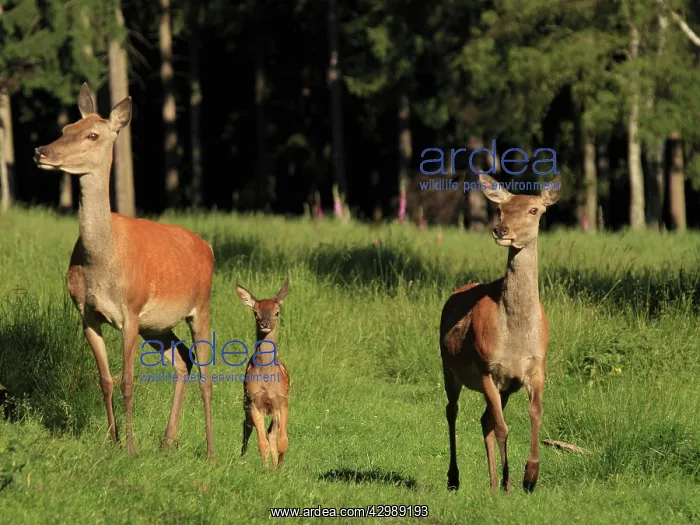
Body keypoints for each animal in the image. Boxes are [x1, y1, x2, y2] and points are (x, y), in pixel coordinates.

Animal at [33, 83, 215, 460]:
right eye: (65, 128)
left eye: (92, 134)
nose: (41, 151)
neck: (102, 261)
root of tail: (208, 246)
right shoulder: (87, 313)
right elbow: (105, 380)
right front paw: (112, 441)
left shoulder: (130, 310)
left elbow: (129, 381)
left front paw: (130, 448)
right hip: (157, 325)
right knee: (183, 360)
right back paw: (168, 441)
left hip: (200, 306)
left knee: (206, 374)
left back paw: (210, 453)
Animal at [235, 279, 290, 469]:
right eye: (255, 312)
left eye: (277, 312)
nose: (265, 324)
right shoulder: (254, 401)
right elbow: (262, 443)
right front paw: (266, 470)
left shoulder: (282, 400)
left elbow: (282, 441)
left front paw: (279, 468)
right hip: (246, 402)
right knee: (247, 426)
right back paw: (243, 455)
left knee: (271, 433)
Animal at [440, 173, 561, 494]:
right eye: (501, 209)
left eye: (534, 209)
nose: (500, 229)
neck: (515, 339)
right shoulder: (486, 367)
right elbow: (504, 427)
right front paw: (511, 482)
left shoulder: (536, 367)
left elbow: (535, 413)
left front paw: (529, 476)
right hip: (449, 368)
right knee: (452, 411)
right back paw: (455, 478)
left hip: (504, 386)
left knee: (485, 420)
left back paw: (492, 484)